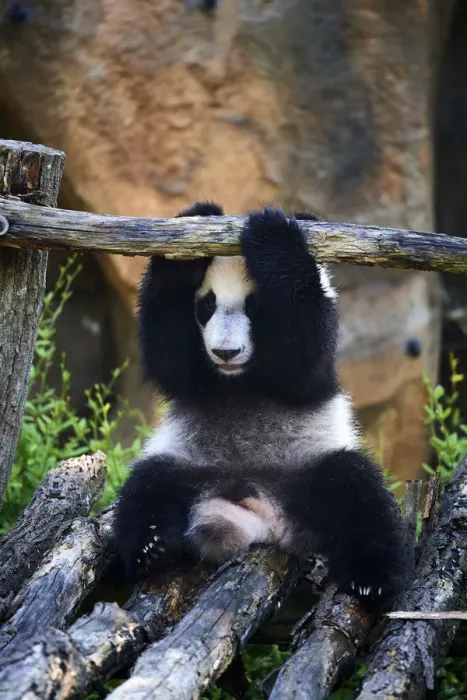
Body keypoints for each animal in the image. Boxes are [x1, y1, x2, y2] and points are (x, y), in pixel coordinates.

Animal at [114, 201, 407, 607]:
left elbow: (303, 353)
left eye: (254, 307)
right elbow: (169, 355)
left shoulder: (313, 359)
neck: (240, 379)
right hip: (191, 462)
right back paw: (151, 548)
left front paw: (273, 230)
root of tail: (264, 517)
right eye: (207, 305)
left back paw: (371, 578)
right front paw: (199, 219)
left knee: (357, 491)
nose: (225, 352)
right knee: (148, 485)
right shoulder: (197, 377)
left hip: (307, 465)